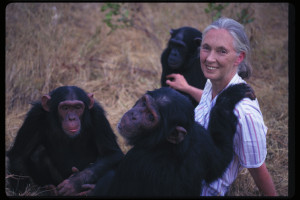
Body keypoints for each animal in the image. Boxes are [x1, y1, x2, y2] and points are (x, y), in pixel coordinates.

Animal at [105, 83, 255, 197]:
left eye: (150, 117)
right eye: (143, 103)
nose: (133, 115)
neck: (164, 146)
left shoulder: (134, 163)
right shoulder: (201, 139)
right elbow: (220, 160)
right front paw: (228, 99)